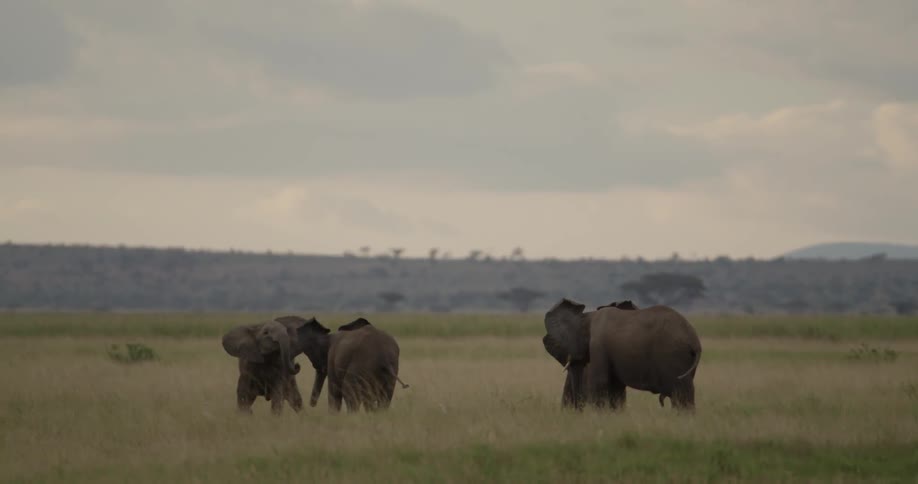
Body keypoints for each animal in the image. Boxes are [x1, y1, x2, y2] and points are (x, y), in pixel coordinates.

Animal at [541, 298, 701, 412]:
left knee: (680, 394)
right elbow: (615, 387)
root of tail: (694, 341)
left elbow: (599, 381)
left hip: (673, 356)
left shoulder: (598, 345)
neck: (586, 317)